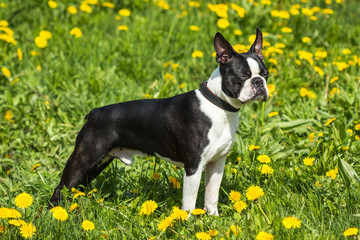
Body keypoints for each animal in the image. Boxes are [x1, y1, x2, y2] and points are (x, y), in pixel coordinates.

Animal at [51, 27, 270, 216]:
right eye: (242, 75)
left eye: (265, 74)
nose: (259, 82)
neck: (220, 107)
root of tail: (95, 112)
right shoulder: (194, 166)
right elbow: (189, 201)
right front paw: (187, 223)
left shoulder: (217, 163)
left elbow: (211, 195)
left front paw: (213, 218)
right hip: (85, 158)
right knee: (60, 188)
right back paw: (56, 214)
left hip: (97, 164)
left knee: (74, 187)